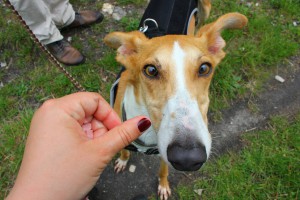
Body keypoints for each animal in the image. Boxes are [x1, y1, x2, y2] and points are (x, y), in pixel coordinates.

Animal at [104, 1, 247, 198]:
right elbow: (125, 150)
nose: (188, 159)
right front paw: (123, 160)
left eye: (204, 68)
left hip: (204, 10)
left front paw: (163, 185)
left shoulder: (163, 152)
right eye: (150, 70)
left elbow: (163, 170)